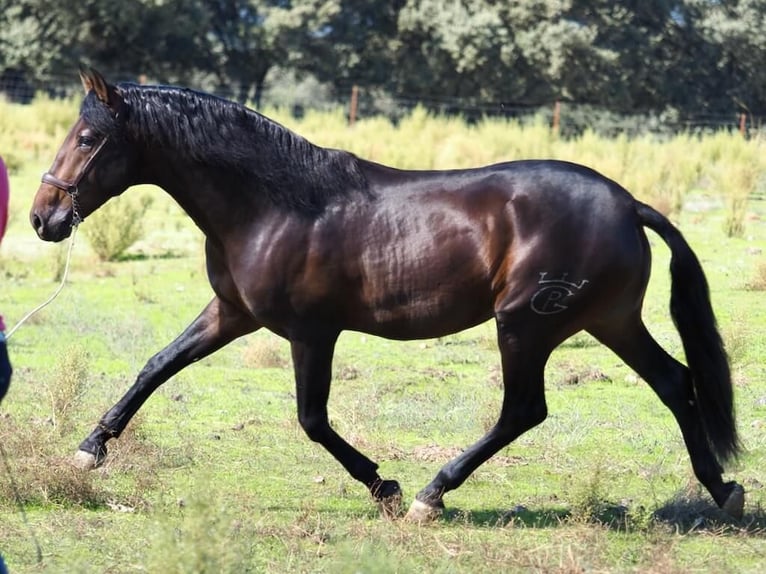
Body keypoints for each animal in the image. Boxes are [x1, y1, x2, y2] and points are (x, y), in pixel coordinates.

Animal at [30, 70, 744, 524]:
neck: (273, 204)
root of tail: (627, 203)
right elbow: (157, 366)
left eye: (88, 139)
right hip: (608, 320)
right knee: (675, 382)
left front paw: (387, 488)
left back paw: (433, 494)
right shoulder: (231, 314)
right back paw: (724, 490)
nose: (43, 219)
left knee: (525, 410)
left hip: (525, 326)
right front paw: (90, 449)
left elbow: (312, 420)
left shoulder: (311, 333)